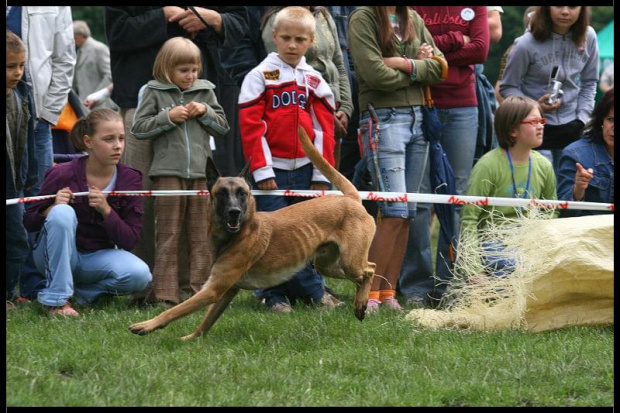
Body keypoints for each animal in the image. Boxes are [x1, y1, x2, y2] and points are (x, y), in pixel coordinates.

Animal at [128, 127, 376, 340]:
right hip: (328, 265)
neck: (236, 235)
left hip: (349, 262)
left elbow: (174, 311)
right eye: (221, 193)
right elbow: (206, 321)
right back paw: (359, 304)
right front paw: (191, 338)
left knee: (370, 270)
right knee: (363, 274)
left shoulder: (213, 289)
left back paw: (362, 303)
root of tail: (351, 198)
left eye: (242, 193)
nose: (234, 213)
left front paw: (146, 325)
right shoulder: (226, 290)